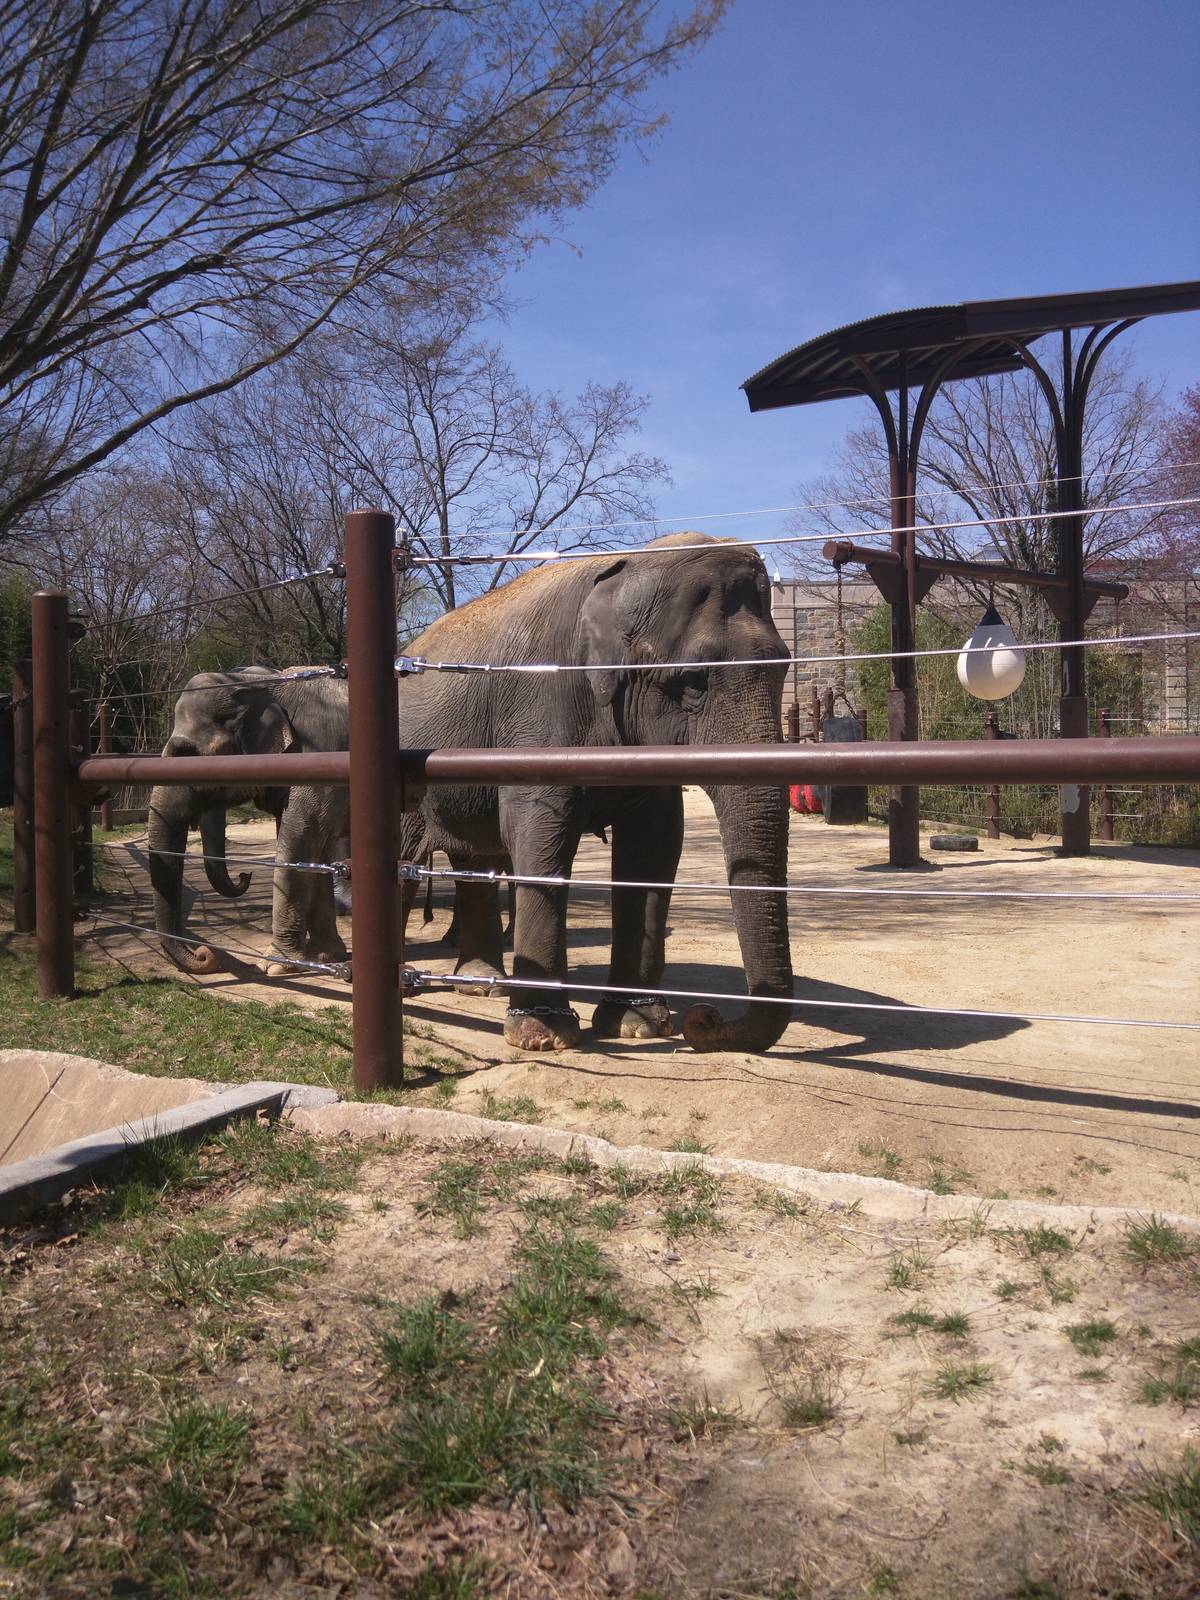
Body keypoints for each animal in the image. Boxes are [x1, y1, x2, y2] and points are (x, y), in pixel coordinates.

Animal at [148, 666, 351, 975]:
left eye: (187, 754)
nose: (205, 954)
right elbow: (313, 848)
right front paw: (326, 958)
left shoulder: (319, 757)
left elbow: (299, 842)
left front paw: (276, 966)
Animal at [396, 532, 794, 1054]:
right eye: (693, 679)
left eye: (784, 667)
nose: (703, 1019)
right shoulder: (539, 706)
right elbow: (540, 829)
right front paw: (543, 1037)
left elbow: (653, 846)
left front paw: (638, 1026)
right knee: (404, 857)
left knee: (475, 858)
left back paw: (482, 984)